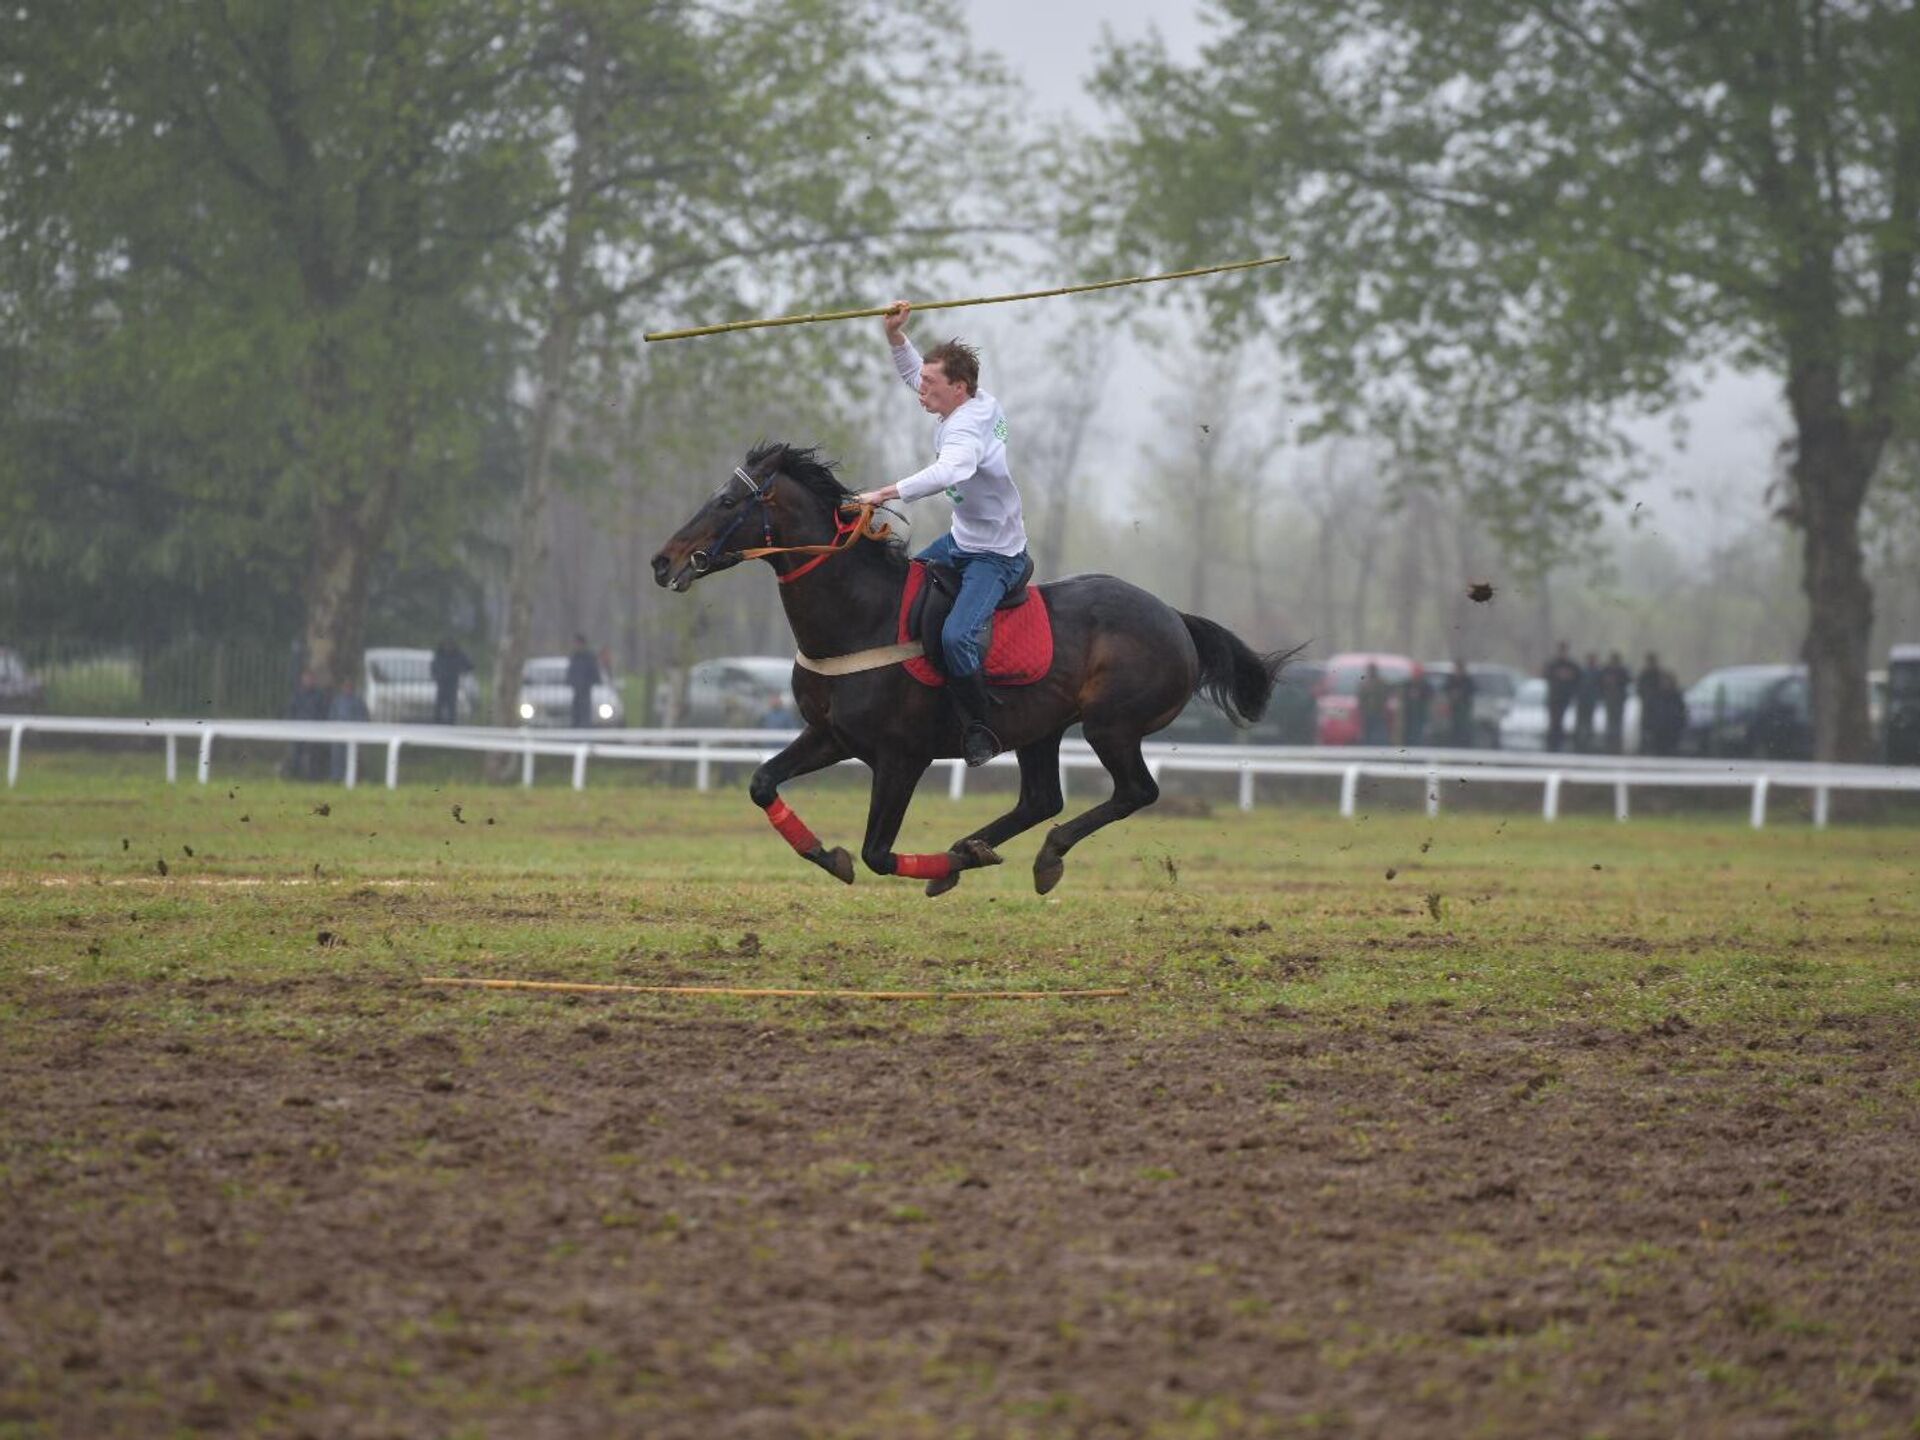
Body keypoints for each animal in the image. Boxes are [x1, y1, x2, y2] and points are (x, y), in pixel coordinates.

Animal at [652, 445, 1297, 898]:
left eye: (727, 503)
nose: (663, 560)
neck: (863, 616)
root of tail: (1174, 617)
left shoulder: (901, 757)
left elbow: (877, 853)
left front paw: (939, 862)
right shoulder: (830, 735)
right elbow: (763, 783)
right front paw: (829, 854)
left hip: (1109, 726)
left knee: (1135, 791)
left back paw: (1032, 854)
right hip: (1042, 728)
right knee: (1041, 799)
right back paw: (976, 847)